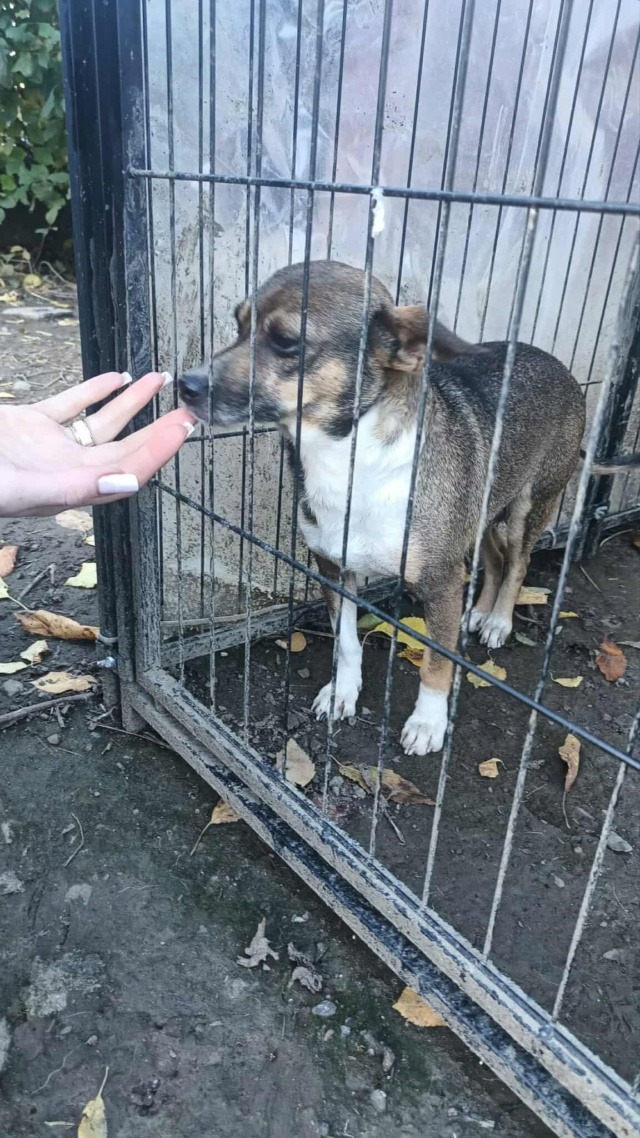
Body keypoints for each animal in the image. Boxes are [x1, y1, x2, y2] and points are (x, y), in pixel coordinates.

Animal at [179, 260, 587, 755]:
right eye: (238, 325)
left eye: (286, 341)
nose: (183, 385)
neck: (348, 462)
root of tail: (553, 361)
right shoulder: (333, 566)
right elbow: (345, 641)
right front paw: (343, 691)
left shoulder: (441, 580)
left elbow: (436, 662)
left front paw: (428, 723)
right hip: (483, 513)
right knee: (492, 559)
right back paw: (479, 612)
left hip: (529, 506)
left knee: (518, 562)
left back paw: (497, 620)